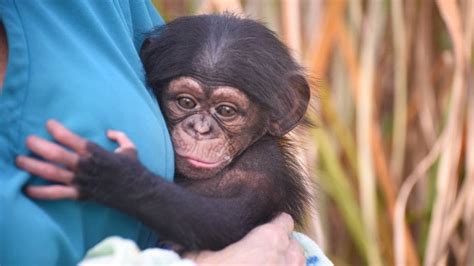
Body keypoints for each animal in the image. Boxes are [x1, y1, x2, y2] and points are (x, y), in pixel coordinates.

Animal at [18, 14, 312, 251]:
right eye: (186, 102)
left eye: (226, 110)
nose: (200, 129)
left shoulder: (263, 165)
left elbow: (221, 219)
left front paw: (111, 174)